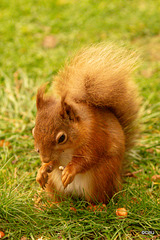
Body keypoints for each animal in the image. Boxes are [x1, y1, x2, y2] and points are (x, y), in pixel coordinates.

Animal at [32, 44, 140, 203]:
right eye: (33, 132)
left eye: (62, 138)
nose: (44, 158)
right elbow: (53, 164)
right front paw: (42, 170)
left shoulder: (95, 137)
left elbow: (88, 159)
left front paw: (70, 171)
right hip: (54, 185)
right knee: (61, 200)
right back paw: (52, 205)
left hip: (101, 176)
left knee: (99, 198)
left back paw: (97, 206)